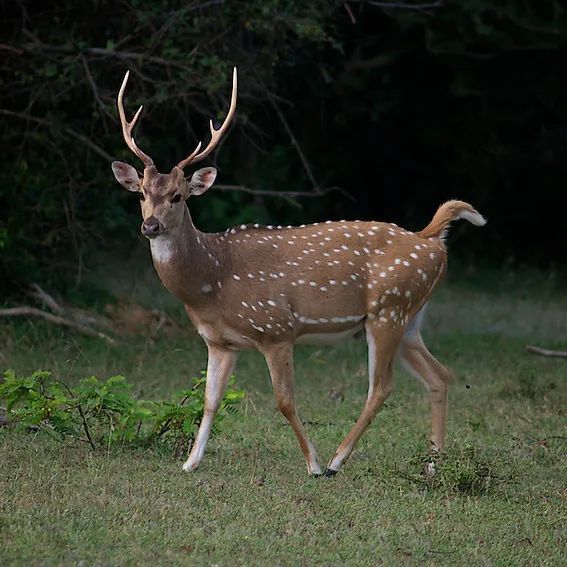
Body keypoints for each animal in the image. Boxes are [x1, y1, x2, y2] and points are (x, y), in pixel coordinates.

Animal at [112, 66, 488, 478]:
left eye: (178, 196)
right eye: (141, 193)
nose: (150, 226)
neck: (212, 280)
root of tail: (431, 239)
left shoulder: (276, 328)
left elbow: (284, 401)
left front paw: (314, 464)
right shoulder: (219, 342)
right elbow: (210, 401)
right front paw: (190, 463)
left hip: (388, 310)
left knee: (381, 387)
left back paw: (338, 461)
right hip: (410, 316)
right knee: (440, 376)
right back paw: (433, 466)